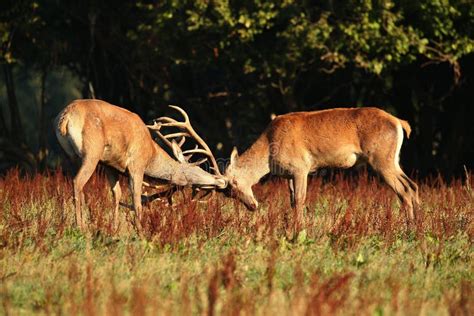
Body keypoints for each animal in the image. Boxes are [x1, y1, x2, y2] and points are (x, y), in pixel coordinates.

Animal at [55, 99, 226, 230]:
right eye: (196, 168)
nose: (222, 181)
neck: (151, 154)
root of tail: (66, 117)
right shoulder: (136, 164)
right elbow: (136, 200)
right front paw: (141, 230)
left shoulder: (110, 165)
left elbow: (116, 194)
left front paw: (115, 228)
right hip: (92, 151)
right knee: (78, 182)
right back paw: (80, 227)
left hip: (69, 155)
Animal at [225, 107, 418, 231]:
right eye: (228, 194)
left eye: (234, 184)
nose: (252, 206)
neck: (269, 147)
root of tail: (399, 122)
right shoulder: (289, 174)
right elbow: (292, 200)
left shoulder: (301, 167)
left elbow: (300, 199)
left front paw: (298, 229)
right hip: (393, 160)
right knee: (413, 186)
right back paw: (418, 225)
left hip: (381, 159)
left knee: (404, 189)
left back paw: (409, 228)